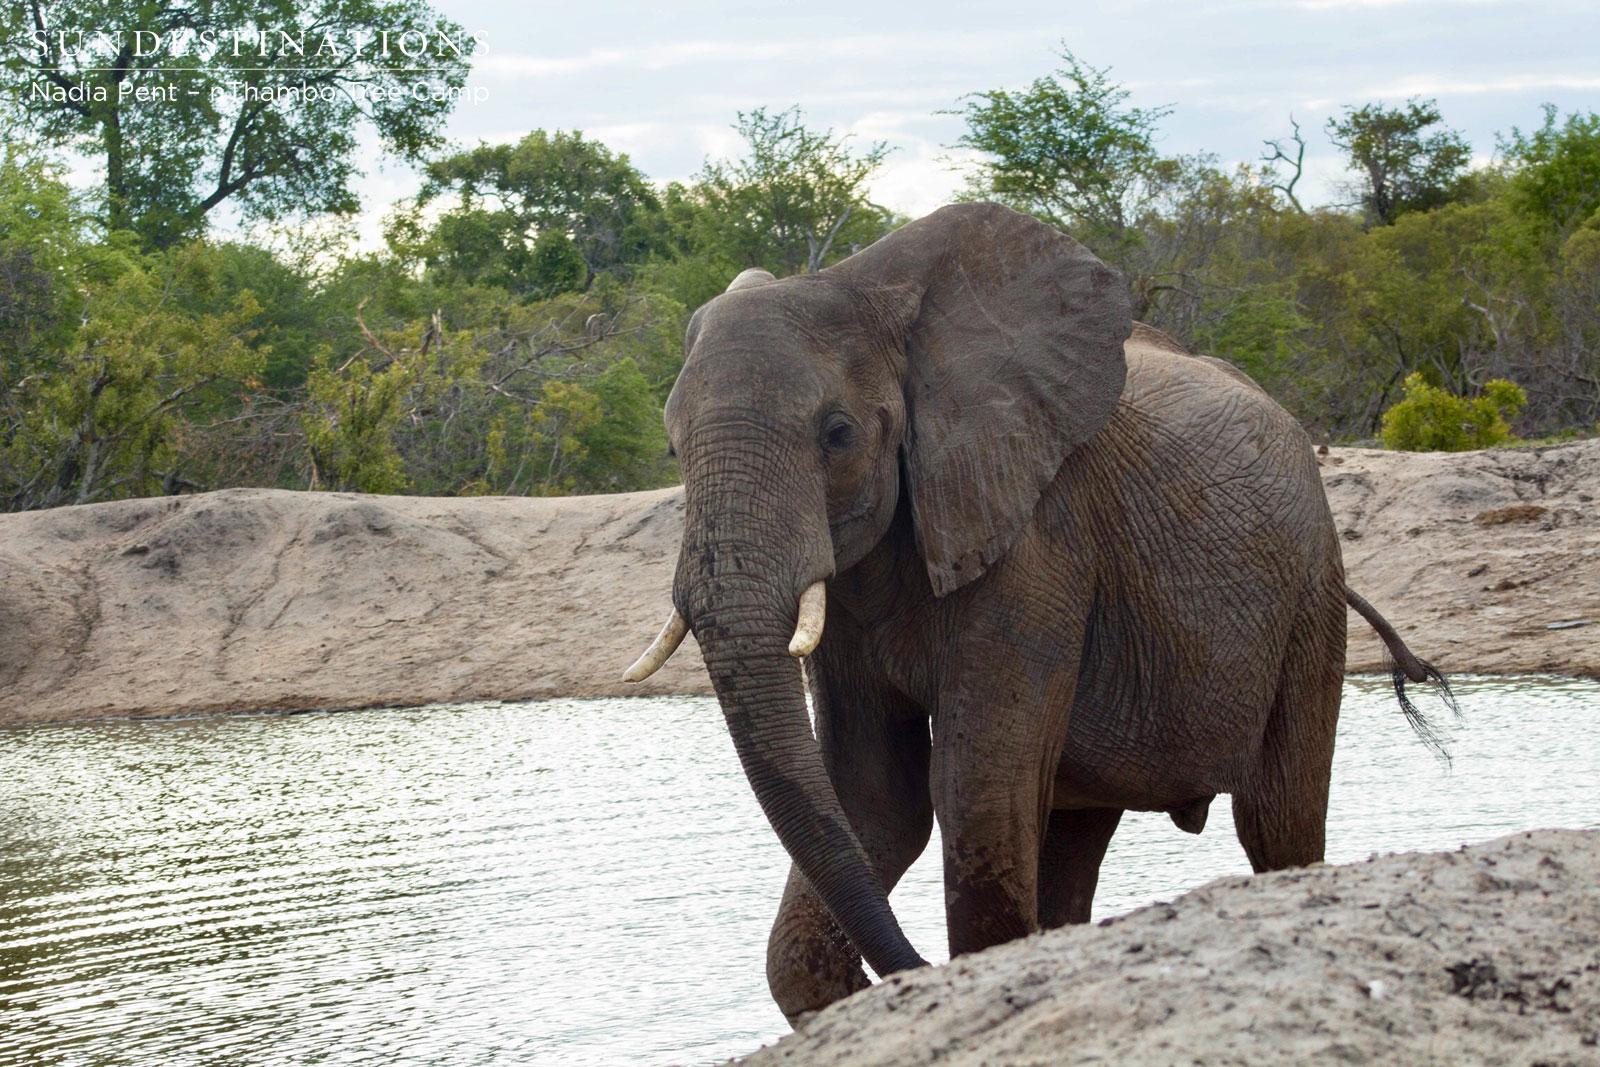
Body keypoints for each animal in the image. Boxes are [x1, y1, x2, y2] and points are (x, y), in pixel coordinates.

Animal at [617, 202, 1459, 1023]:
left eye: (838, 434)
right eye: (672, 447)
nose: (909, 972)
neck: (875, 292)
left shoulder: (1039, 541)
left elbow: (974, 790)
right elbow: (874, 794)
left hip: (1310, 585)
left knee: (1278, 822)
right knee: (1074, 836)